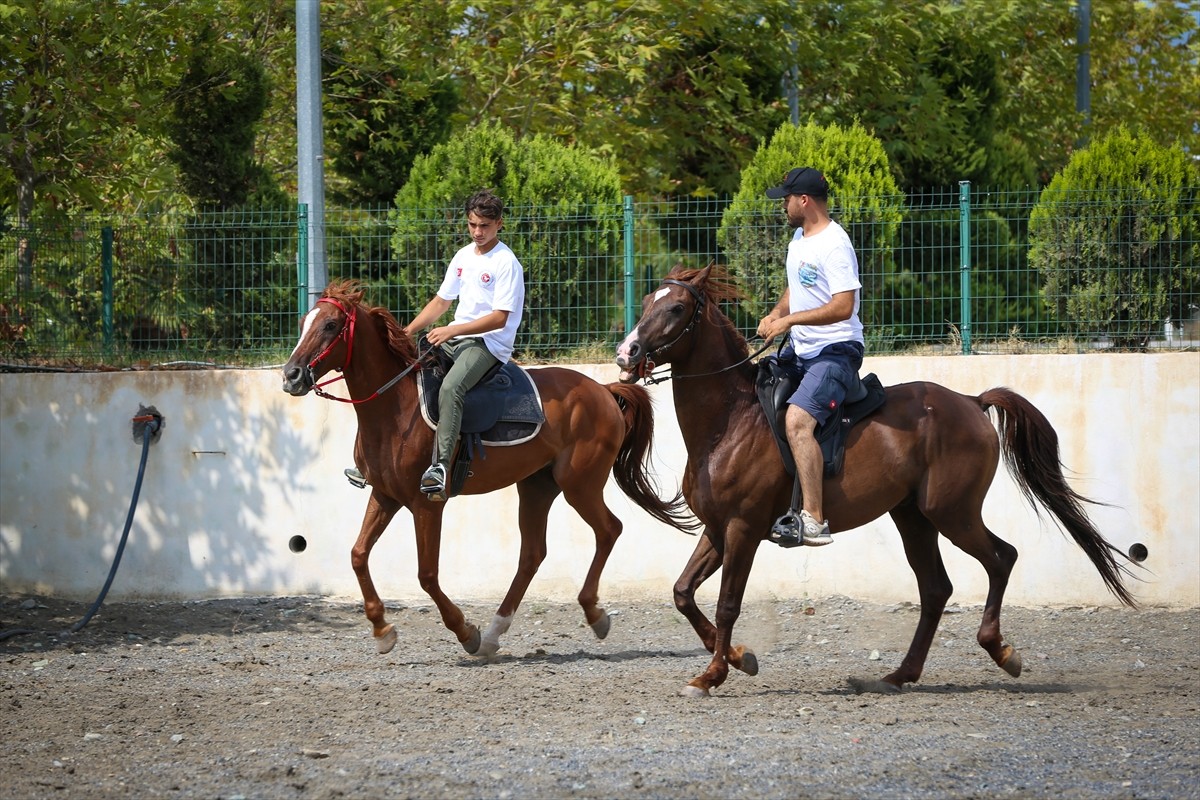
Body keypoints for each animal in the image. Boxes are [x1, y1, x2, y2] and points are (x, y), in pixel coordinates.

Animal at [283, 281, 696, 657]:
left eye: (331, 325)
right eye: (305, 322)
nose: (291, 375)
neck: (396, 409)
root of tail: (604, 391)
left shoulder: (427, 503)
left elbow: (427, 575)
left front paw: (466, 632)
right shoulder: (385, 495)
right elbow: (358, 555)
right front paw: (382, 629)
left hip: (579, 484)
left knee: (609, 529)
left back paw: (594, 616)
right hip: (537, 486)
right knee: (532, 554)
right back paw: (497, 632)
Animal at [619, 266, 1132, 695]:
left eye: (676, 309)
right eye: (646, 301)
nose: (628, 353)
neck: (730, 419)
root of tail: (971, 401)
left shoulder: (743, 529)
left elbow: (727, 603)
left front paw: (713, 673)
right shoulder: (717, 528)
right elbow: (683, 593)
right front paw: (740, 658)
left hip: (952, 513)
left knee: (1001, 559)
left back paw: (1001, 651)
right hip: (914, 517)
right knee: (936, 588)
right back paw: (900, 674)